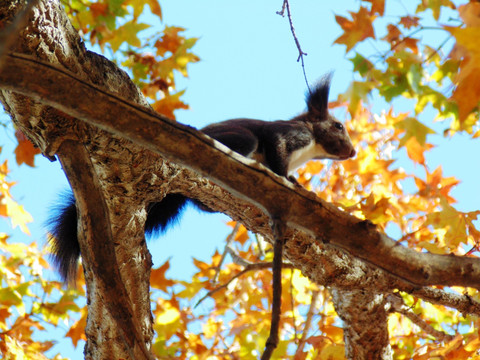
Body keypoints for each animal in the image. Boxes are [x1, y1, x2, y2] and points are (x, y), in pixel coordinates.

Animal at [47, 75, 356, 284]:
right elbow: (277, 150)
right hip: (240, 139)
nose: (352, 152)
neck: (310, 148)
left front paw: (299, 184)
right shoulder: (287, 135)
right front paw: (284, 179)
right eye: (338, 125)